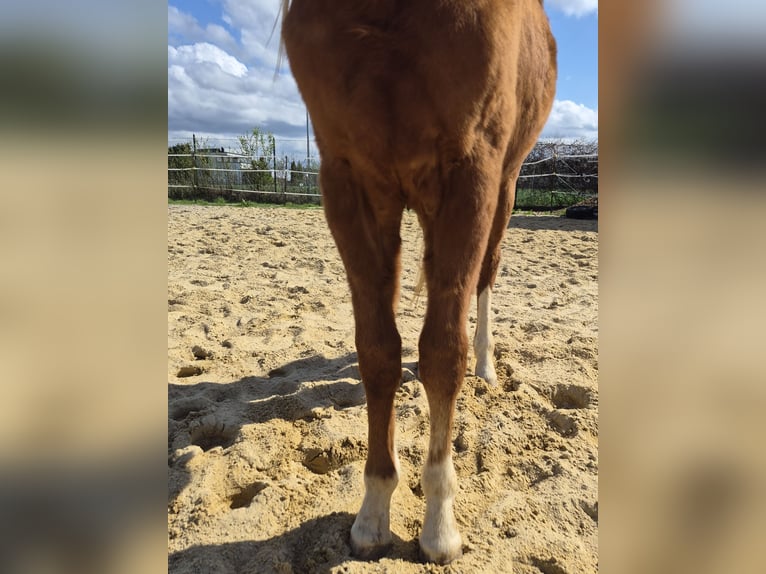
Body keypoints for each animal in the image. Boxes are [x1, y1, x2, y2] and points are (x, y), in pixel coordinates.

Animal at [281, 0, 556, 563]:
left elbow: (444, 352)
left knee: (485, 277)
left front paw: (439, 526)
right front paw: (372, 513)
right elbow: (378, 351)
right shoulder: (348, 177)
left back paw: (486, 366)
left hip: (506, 184)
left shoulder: (472, 173)